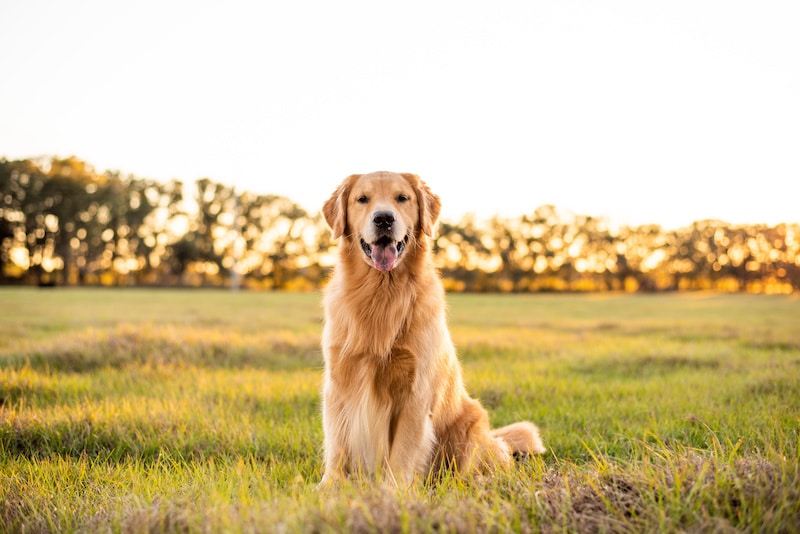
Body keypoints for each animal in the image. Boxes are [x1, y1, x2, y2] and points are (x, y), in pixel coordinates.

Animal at [320, 174, 544, 488]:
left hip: (470, 424)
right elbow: (337, 444)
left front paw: (393, 492)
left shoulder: (416, 392)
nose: (384, 218)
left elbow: (402, 453)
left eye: (402, 198)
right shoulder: (339, 383)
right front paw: (330, 487)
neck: (381, 293)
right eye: (362, 199)